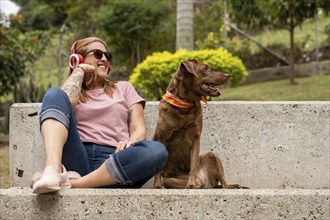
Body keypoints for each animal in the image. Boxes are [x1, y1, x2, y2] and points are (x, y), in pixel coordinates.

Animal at [153, 59, 244, 188]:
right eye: (205, 68)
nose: (228, 75)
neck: (185, 105)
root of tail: (205, 182)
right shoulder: (161, 138)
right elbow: (158, 171)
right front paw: (156, 186)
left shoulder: (195, 139)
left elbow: (193, 166)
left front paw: (191, 184)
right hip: (169, 180)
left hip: (212, 155)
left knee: (223, 181)